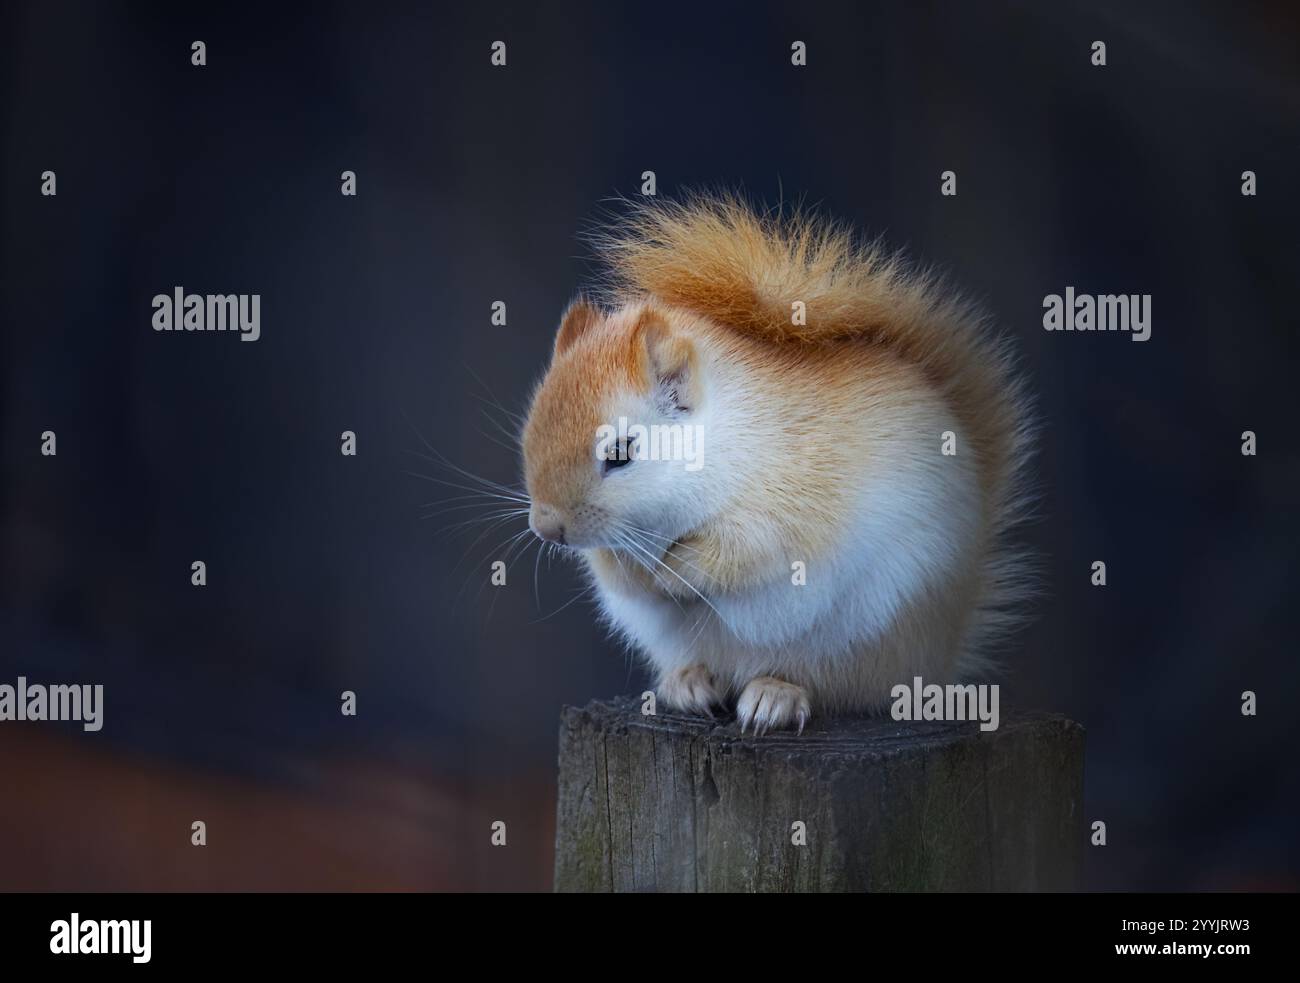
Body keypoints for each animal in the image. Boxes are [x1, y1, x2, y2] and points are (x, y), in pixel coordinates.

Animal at [521, 193, 1034, 734]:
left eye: (620, 453)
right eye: (530, 430)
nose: (547, 527)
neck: (723, 438)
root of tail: (940, 659)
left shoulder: (791, 499)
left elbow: (747, 552)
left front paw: (675, 571)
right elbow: (617, 571)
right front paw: (638, 575)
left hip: (875, 629)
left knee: (835, 687)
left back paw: (776, 695)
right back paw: (687, 684)